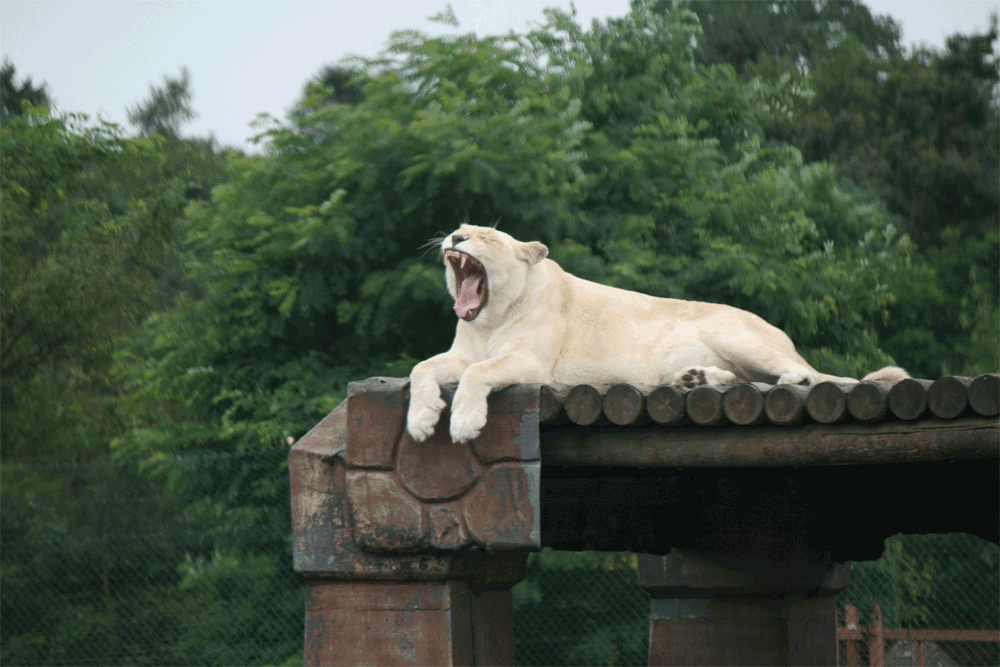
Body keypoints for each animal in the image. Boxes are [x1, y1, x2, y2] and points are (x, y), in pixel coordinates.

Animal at [407, 224, 907, 443]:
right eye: (459, 229)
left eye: (486, 237)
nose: (454, 239)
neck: (488, 320)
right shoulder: (461, 354)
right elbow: (421, 369)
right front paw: (421, 420)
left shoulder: (531, 364)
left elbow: (477, 375)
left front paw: (464, 424)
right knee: (746, 379)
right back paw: (694, 379)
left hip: (734, 333)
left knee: (800, 376)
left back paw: (772, 380)